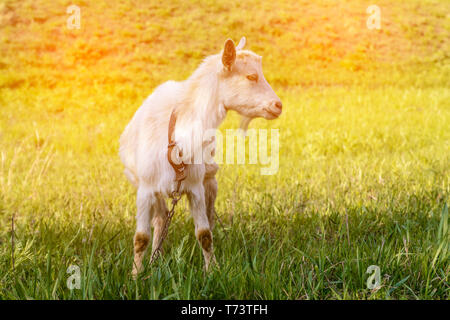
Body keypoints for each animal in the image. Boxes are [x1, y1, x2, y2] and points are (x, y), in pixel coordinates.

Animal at [119, 38, 282, 276]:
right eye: (252, 76)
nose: (278, 105)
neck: (177, 135)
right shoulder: (146, 189)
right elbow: (140, 238)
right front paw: (135, 276)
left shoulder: (194, 186)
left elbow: (204, 234)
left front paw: (212, 271)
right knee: (160, 218)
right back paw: (155, 260)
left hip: (210, 179)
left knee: (203, 216)